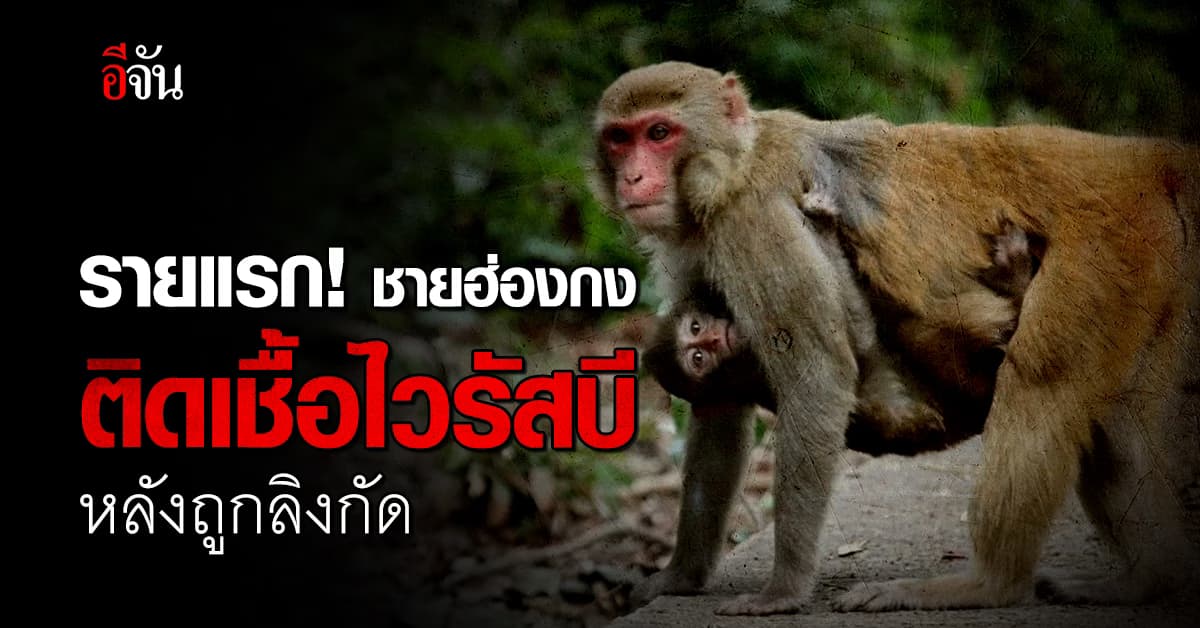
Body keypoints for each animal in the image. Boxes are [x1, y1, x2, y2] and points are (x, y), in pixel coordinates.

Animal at [645, 222, 1038, 457]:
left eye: (695, 328)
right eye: (698, 359)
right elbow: (859, 341)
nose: (714, 339)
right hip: (969, 389)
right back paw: (1016, 279)